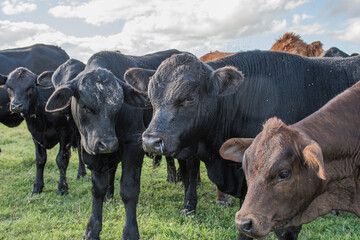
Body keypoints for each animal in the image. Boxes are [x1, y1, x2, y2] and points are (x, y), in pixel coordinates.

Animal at [4, 66, 85, 194]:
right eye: (9, 87)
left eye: (31, 87)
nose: (17, 106)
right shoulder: (35, 134)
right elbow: (40, 160)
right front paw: (37, 186)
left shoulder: (65, 132)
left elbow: (61, 160)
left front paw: (62, 188)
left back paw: (81, 174)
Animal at [45, 49, 180, 240]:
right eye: (84, 106)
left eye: (118, 105)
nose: (107, 144)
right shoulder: (93, 152)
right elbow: (97, 189)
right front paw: (92, 229)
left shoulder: (133, 145)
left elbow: (129, 189)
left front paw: (130, 232)